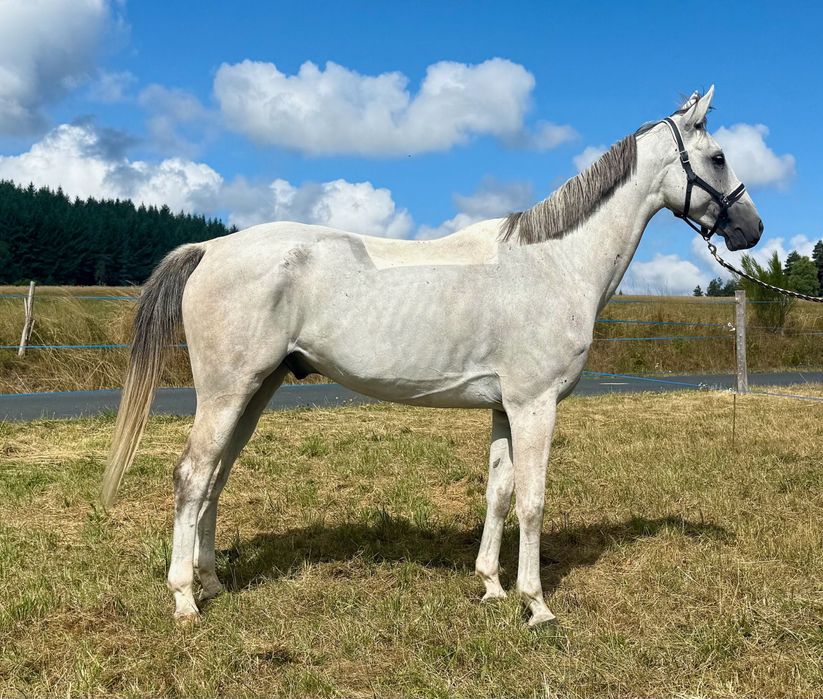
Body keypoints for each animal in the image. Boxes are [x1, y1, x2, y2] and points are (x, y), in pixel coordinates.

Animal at [102, 86, 763, 626]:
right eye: (718, 157)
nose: (751, 230)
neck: (554, 263)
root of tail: (209, 248)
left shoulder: (504, 409)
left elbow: (499, 494)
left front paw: (492, 588)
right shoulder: (535, 405)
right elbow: (533, 500)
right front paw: (537, 605)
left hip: (255, 392)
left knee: (215, 478)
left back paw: (212, 583)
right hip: (226, 391)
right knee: (192, 476)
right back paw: (185, 600)